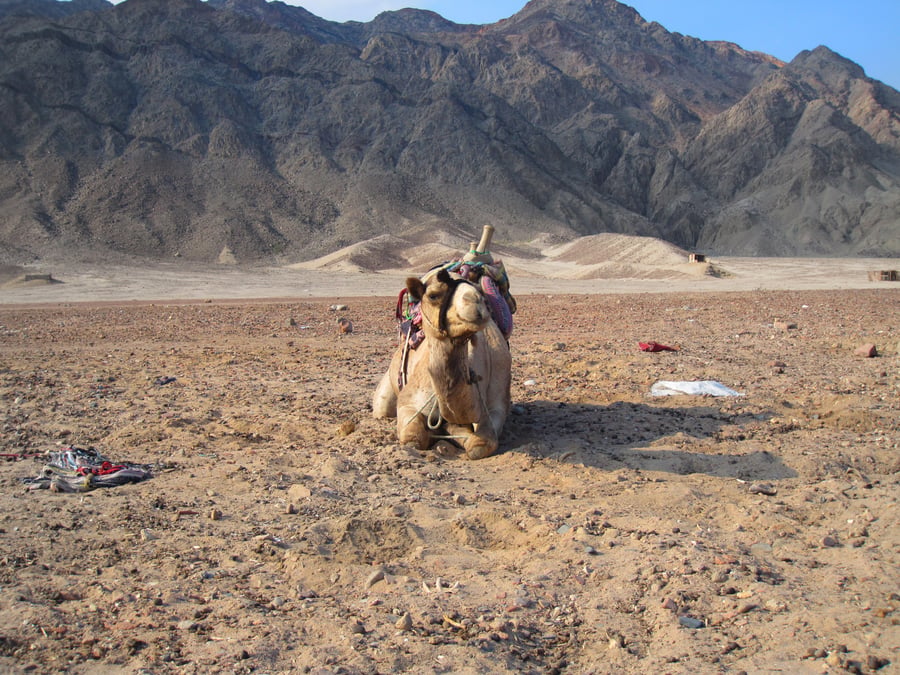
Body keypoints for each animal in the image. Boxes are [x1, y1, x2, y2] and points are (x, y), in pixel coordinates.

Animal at [372, 267, 512, 459]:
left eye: (482, 294)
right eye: (433, 295)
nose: (475, 303)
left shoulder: (497, 403)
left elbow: (480, 445)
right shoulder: (408, 401)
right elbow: (413, 438)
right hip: (386, 394)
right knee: (382, 407)